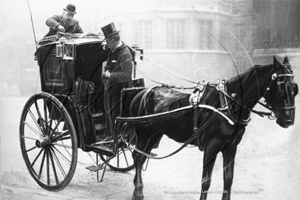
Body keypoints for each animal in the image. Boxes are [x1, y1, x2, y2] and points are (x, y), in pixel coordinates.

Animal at [118, 55, 298, 200]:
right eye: (280, 89)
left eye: (295, 89)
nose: (288, 120)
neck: (228, 104)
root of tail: (143, 92)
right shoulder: (211, 148)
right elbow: (206, 181)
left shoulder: (230, 147)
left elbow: (228, 179)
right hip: (144, 134)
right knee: (138, 157)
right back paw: (138, 192)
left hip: (155, 135)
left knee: (141, 156)